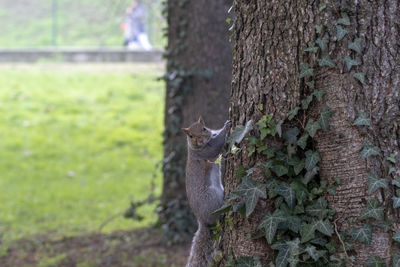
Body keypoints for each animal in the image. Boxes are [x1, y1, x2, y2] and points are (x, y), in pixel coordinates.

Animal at [182, 117, 231, 267]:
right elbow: (217, 144)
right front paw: (227, 127)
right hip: (212, 199)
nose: (199, 140)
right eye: (190, 136)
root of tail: (203, 221)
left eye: (203, 128)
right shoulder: (206, 152)